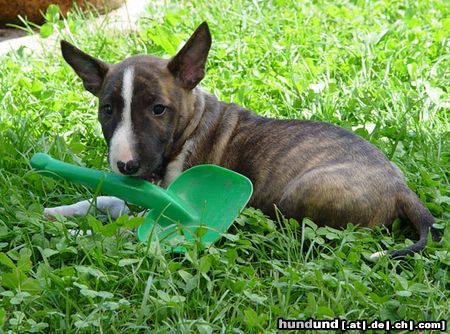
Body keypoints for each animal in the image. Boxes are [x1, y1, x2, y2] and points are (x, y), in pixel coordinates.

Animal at [46, 22, 440, 258]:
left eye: (159, 109)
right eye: (108, 109)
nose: (126, 166)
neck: (187, 132)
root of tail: (402, 188)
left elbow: (126, 225)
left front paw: (80, 235)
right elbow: (108, 199)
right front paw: (58, 213)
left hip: (299, 192)